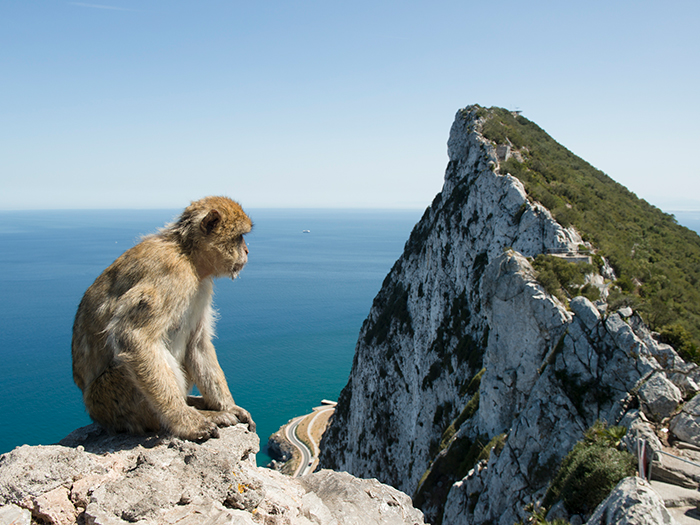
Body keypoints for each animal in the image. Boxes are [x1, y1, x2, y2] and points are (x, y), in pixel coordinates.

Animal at [71, 194, 256, 440]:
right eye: (239, 237)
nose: (247, 251)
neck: (187, 254)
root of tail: (96, 415)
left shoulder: (202, 287)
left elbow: (197, 344)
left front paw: (228, 406)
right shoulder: (171, 273)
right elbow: (133, 336)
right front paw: (187, 423)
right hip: (111, 397)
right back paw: (195, 413)